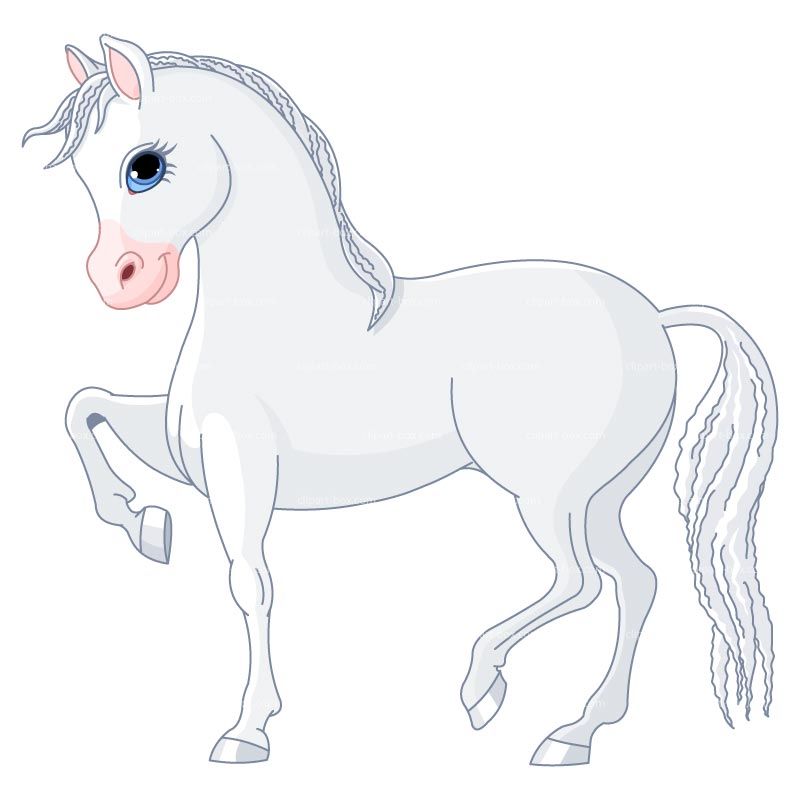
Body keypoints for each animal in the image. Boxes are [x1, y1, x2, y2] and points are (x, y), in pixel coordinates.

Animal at [24, 35, 777, 766]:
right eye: (84, 172)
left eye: (145, 166)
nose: (117, 281)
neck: (276, 314)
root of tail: (654, 318)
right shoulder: (192, 452)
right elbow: (84, 406)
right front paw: (146, 526)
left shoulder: (240, 464)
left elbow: (250, 581)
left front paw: (246, 733)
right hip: (600, 497)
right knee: (635, 581)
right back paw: (575, 734)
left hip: (548, 494)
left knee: (582, 581)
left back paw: (485, 688)